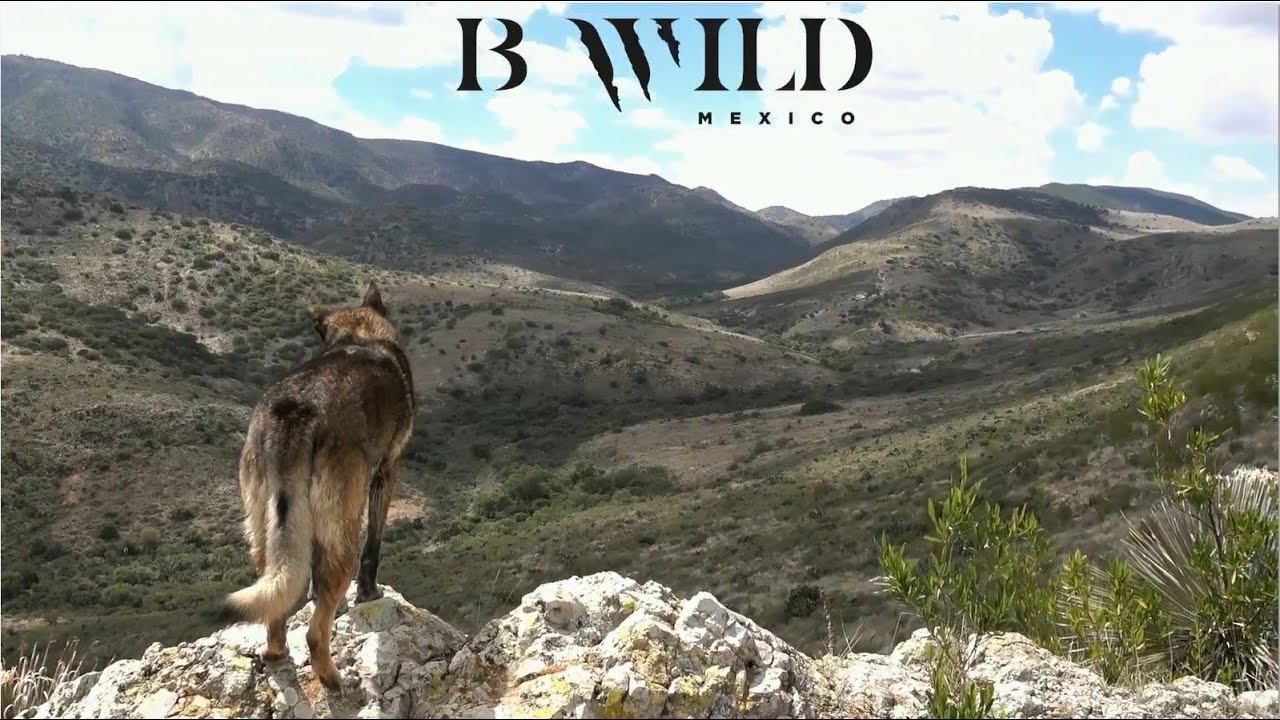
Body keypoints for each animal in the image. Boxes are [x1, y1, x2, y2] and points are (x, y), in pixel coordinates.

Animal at [210, 281, 415, 690]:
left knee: (275, 597)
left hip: (265, 527)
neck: (361, 336)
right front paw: (368, 594)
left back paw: (275, 652)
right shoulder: (386, 471)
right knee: (316, 632)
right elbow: (374, 548)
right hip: (342, 528)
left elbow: (312, 581)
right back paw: (333, 678)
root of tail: (296, 412)